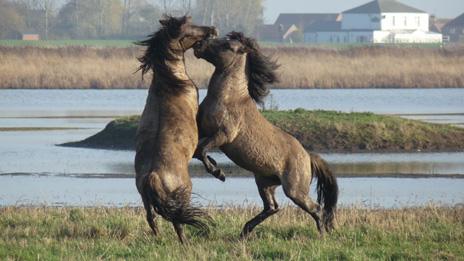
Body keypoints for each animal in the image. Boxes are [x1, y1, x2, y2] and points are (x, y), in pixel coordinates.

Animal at [134, 15, 218, 244]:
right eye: (188, 30)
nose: (212, 29)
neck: (170, 82)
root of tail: (152, 176)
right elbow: (201, 149)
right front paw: (215, 169)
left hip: (145, 198)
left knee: (152, 218)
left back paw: (159, 239)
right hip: (183, 194)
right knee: (177, 220)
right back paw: (185, 243)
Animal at [194, 31, 338, 237]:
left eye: (227, 45)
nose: (198, 44)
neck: (229, 98)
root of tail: (308, 157)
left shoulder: (223, 135)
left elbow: (202, 149)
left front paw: (218, 173)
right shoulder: (204, 131)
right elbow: (198, 150)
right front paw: (215, 166)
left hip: (294, 190)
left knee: (315, 208)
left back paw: (322, 234)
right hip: (265, 182)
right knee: (272, 207)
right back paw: (245, 231)